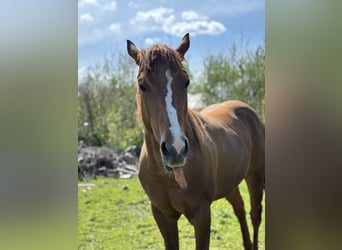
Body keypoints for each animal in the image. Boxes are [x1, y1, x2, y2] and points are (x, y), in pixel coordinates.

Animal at [127, 33, 264, 250]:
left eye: (186, 82)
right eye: (142, 85)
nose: (176, 149)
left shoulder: (201, 215)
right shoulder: (162, 215)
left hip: (256, 176)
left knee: (255, 214)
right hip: (230, 182)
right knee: (240, 209)